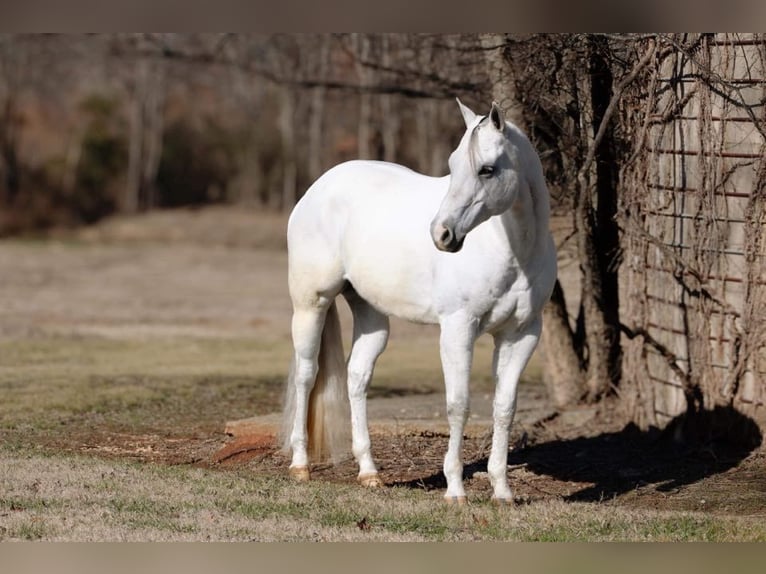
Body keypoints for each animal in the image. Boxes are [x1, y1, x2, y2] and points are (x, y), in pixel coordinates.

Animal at [282, 99, 560, 504]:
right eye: (452, 165)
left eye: (487, 169)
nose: (442, 234)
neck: (511, 250)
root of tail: (317, 188)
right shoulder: (458, 329)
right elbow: (458, 405)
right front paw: (455, 490)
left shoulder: (522, 334)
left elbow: (504, 408)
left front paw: (502, 491)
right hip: (311, 305)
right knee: (306, 375)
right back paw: (300, 465)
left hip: (371, 316)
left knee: (357, 378)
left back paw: (369, 472)